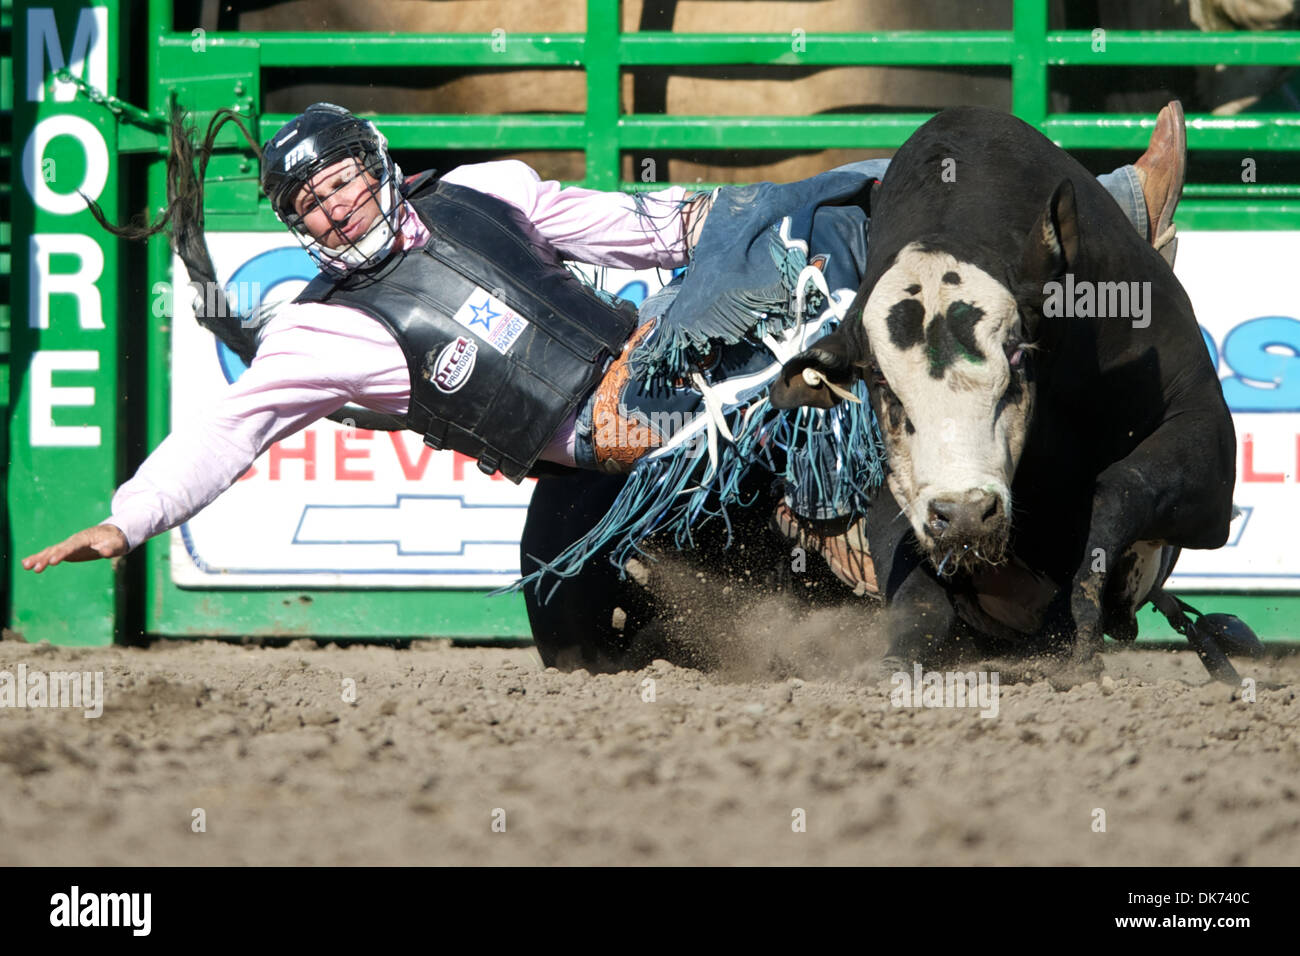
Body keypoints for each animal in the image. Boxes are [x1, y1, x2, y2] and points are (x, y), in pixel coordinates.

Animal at [769, 108, 1258, 686]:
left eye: (1018, 356)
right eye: (881, 382)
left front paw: (1080, 632)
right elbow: (916, 592)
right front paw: (896, 659)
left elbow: (1119, 488)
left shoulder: (1205, 446)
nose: (964, 514)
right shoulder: (900, 490)